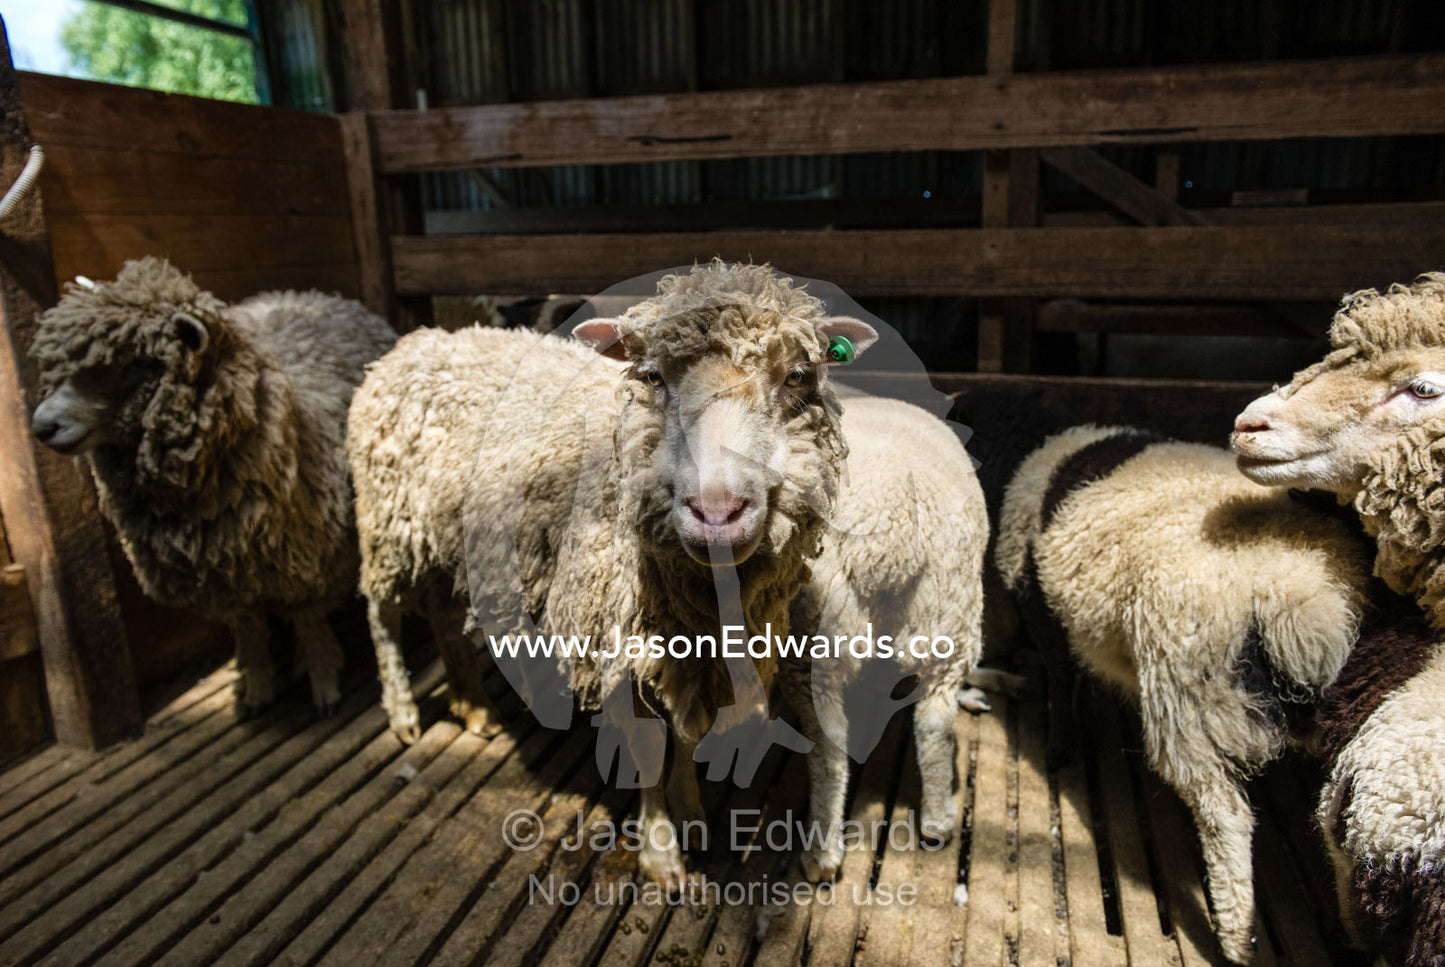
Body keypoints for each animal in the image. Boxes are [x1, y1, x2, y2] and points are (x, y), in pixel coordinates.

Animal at [28, 258, 396, 716]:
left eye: (139, 364)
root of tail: (317, 294)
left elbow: (309, 621)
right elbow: (249, 631)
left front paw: (324, 682)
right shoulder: (221, 581)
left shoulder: (309, 558)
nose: (42, 425)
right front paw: (257, 689)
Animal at [347, 260, 880, 889]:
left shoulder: (685, 655)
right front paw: (661, 850)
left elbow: (685, 737)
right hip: (386, 520)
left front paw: (691, 813)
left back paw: (472, 706)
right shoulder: (617, 643)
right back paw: (404, 711)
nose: (717, 512)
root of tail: (418, 340)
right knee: (381, 615)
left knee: (444, 615)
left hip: (450, 538)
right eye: (652, 377)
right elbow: (649, 749)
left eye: (797, 376)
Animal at [780, 393, 987, 883]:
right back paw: (937, 820)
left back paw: (823, 851)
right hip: (950, 620)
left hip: (818, 644)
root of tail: (894, 521)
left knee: (830, 746)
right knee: (934, 723)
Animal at [997, 425, 1372, 964]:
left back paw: (1235, 937)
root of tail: (1294, 594)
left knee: (1225, 818)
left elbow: (1062, 678)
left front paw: (1058, 749)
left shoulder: (1040, 605)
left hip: (1189, 698)